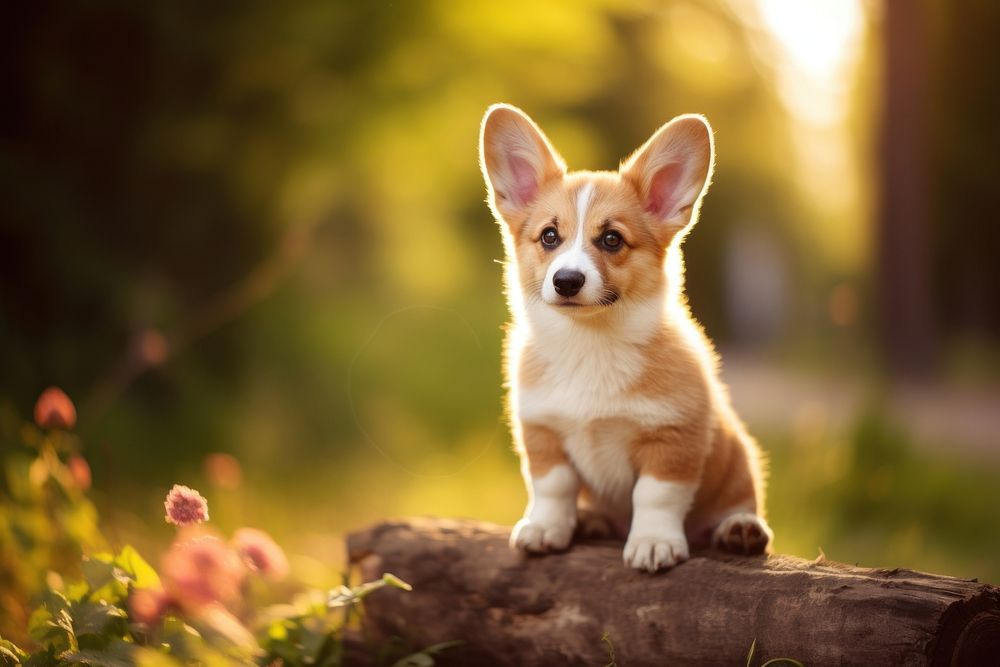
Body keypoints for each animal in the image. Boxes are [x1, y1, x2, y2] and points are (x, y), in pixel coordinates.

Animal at [476, 105, 772, 576]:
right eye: (549, 236)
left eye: (612, 239)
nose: (567, 280)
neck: (590, 341)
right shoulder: (542, 431)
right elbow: (553, 487)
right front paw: (545, 528)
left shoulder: (673, 438)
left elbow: (655, 495)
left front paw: (652, 543)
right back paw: (591, 521)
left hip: (738, 461)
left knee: (740, 502)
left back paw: (740, 529)